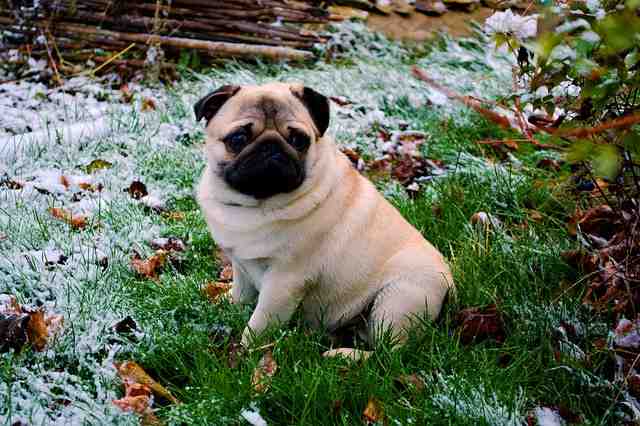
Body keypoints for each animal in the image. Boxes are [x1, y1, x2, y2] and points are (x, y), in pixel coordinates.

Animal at [196, 82, 456, 360]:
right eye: (238, 139)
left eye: (299, 140)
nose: (271, 147)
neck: (258, 203)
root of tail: (450, 286)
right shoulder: (241, 265)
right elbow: (241, 293)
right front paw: (231, 305)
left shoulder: (283, 282)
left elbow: (259, 323)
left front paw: (245, 352)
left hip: (398, 298)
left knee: (390, 354)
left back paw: (343, 355)